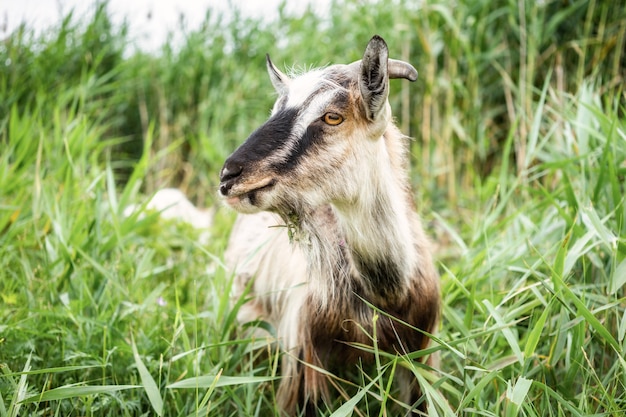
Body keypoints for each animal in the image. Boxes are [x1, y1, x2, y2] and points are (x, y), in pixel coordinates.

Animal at [219, 35, 438, 412]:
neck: (385, 296)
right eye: (275, 111)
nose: (229, 175)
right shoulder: (304, 356)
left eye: (333, 117)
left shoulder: (419, 352)